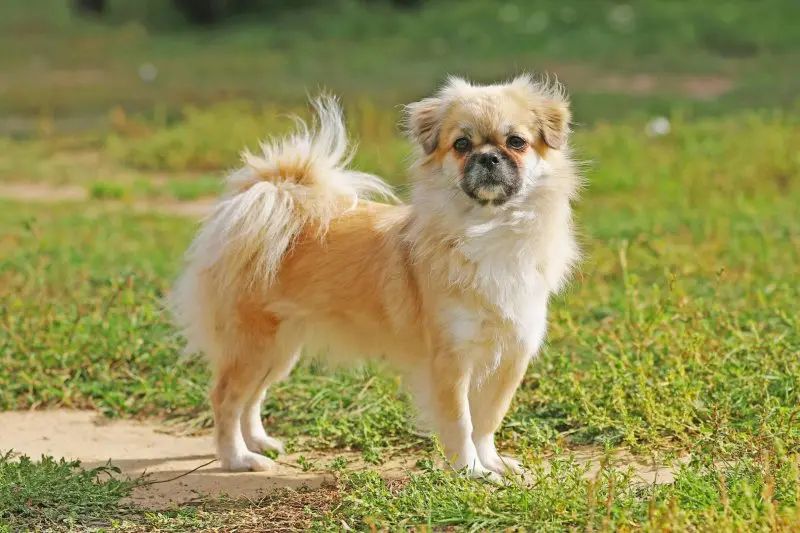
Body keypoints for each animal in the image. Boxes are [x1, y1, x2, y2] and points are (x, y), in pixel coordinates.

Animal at [169, 74, 580, 478]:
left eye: (516, 142)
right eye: (461, 145)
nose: (489, 157)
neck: (490, 227)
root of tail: (268, 198)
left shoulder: (512, 353)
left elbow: (487, 420)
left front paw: (492, 463)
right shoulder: (451, 359)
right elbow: (461, 422)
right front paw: (470, 471)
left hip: (279, 350)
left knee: (252, 398)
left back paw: (258, 442)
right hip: (253, 346)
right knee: (225, 399)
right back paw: (237, 458)